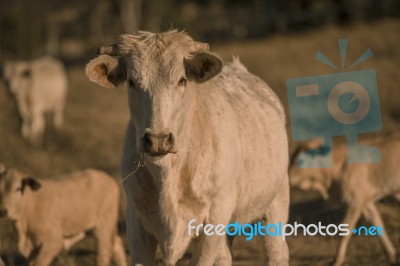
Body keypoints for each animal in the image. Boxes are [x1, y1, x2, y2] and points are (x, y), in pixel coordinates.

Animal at [86, 30, 290, 264]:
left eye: (182, 80)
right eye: (132, 82)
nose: (158, 139)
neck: (168, 174)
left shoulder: (216, 216)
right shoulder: (136, 221)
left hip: (277, 200)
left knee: (276, 252)